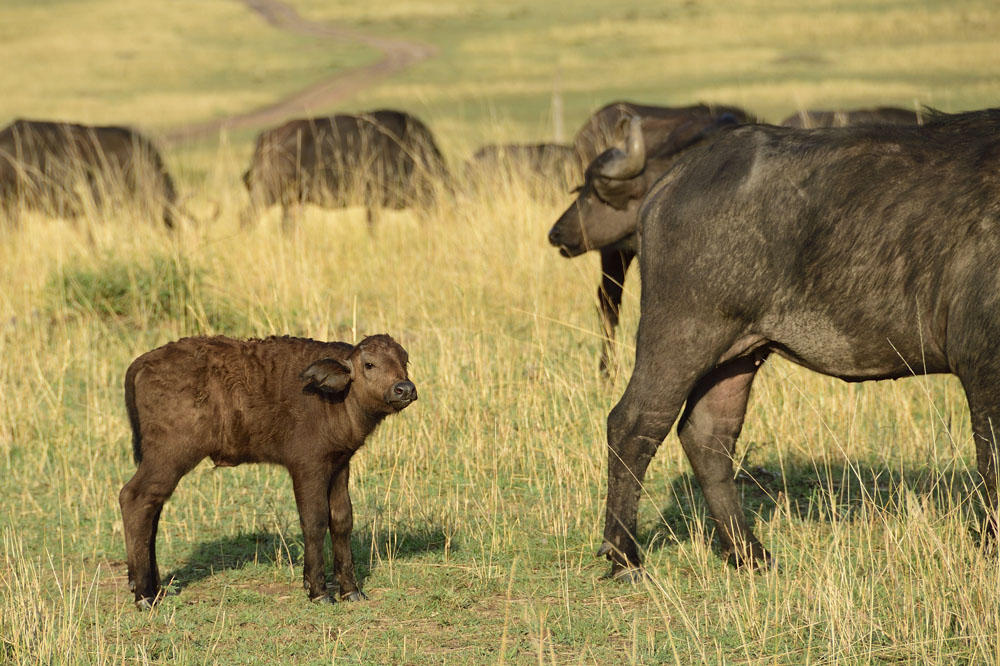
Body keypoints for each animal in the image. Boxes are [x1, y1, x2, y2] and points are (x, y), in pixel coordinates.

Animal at [119, 334, 417, 608]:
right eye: (370, 364)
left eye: (404, 361)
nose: (404, 388)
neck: (334, 398)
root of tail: (144, 360)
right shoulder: (308, 467)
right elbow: (315, 521)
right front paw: (318, 590)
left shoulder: (340, 464)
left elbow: (342, 520)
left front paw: (350, 589)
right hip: (169, 455)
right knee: (134, 499)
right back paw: (144, 595)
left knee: (152, 508)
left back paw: (153, 586)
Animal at [240, 109, 449, 230]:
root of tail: (268, 136)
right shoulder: (372, 201)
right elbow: (373, 227)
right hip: (267, 192)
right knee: (247, 220)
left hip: (292, 200)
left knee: (288, 226)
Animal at [550, 109, 747, 374]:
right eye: (584, 188)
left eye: (598, 195)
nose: (555, 233)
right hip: (613, 254)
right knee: (608, 304)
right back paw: (606, 370)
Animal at [596, 109, 1000, 580]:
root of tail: (670, 181)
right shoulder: (982, 366)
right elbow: (993, 460)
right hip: (681, 333)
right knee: (633, 425)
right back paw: (625, 554)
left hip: (739, 354)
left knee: (707, 435)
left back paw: (747, 552)